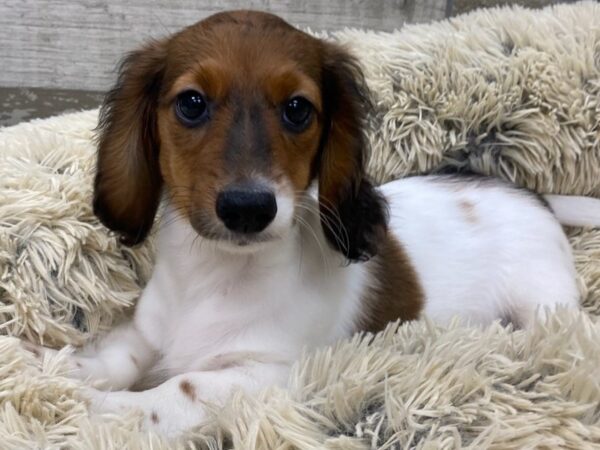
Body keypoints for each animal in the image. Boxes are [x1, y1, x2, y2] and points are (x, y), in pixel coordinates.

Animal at [24, 9, 600, 440]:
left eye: (298, 109)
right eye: (191, 103)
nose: (248, 207)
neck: (212, 278)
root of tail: (530, 195)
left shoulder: (266, 374)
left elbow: (171, 391)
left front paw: (87, 405)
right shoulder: (149, 331)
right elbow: (116, 358)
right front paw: (51, 364)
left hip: (544, 307)